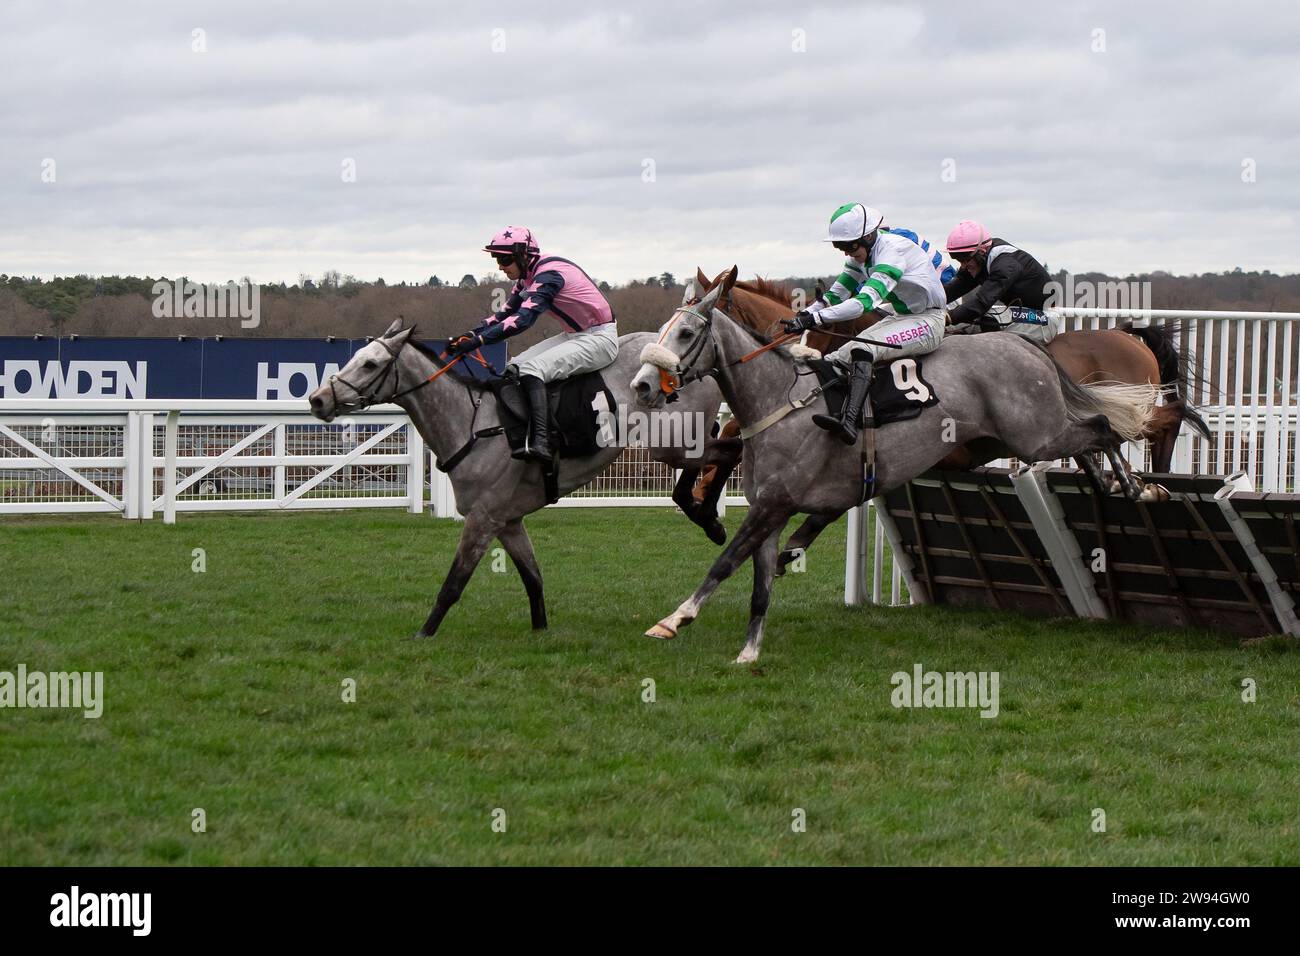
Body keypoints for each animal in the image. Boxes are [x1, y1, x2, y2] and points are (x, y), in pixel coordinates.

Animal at [310, 317, 728, 639]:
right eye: (355, 358)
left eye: (370, 363)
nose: (318, 399)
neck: (471, 424)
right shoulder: (508, 521)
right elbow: (533, 578)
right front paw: (540, 631)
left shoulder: (482, 519)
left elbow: (453, 584)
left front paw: (423, 634)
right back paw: (708, 514)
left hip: (674, 443)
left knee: (726, 450)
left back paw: (708, 518)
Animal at [629, 282, 1159, 665]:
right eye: (663, 329)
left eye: (685, 334)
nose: (641, 385)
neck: (780, 399)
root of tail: (1028, 348)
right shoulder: (772, 509)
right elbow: (759, 585)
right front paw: (749, 652)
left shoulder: (775, 504)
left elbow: (725, 562)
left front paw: (675, 618)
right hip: (1029, 434)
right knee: (1092, 431)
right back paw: (1114, 482)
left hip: (1036, 435)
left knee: (1103, 425)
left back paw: (1133, 485)